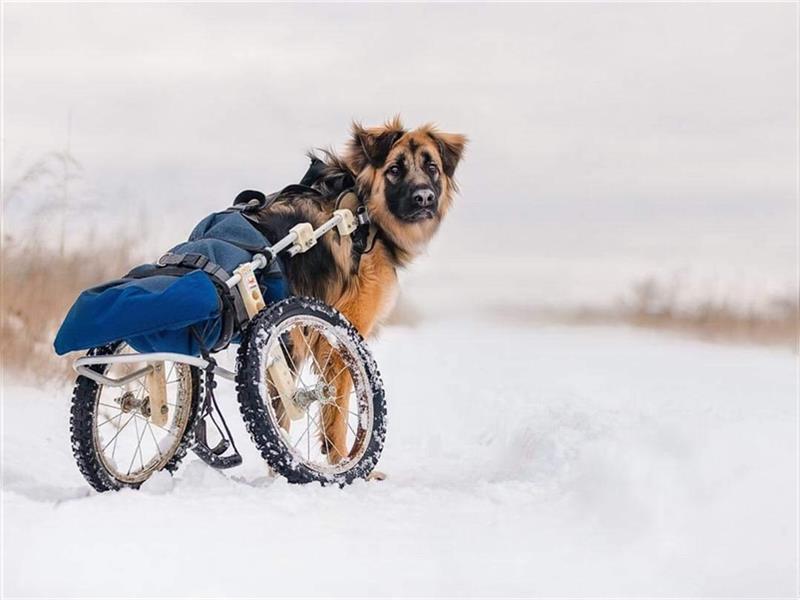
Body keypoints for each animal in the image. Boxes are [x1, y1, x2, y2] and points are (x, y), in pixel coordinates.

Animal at [253, 117, 466, 462]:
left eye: (431, 166)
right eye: (395, 169)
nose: (423, 198)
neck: (364, 213)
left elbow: (283, 410)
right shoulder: (338, 338)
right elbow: (335, 411)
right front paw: (342, 462)